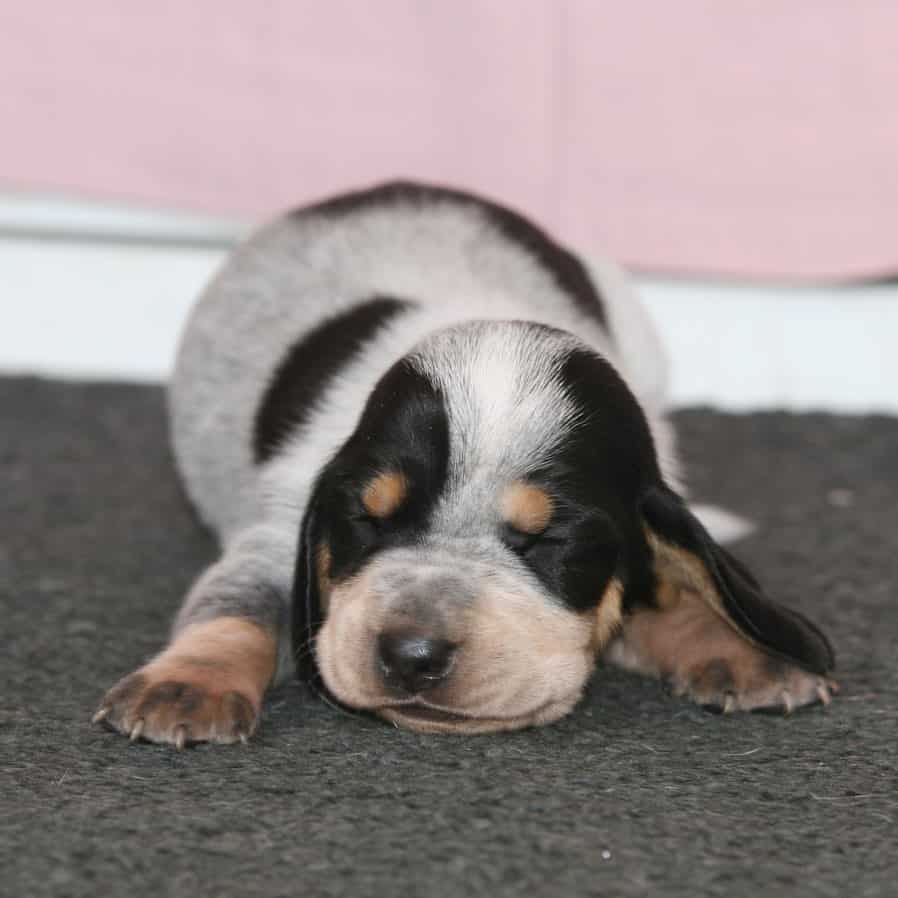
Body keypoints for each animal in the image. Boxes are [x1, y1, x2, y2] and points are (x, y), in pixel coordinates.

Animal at [91, 180, 832, 744]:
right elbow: (238, 606)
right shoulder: (279, 526)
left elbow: (678, 585)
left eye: (549, 541)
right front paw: (188, 682)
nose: (410, 656)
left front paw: (742, 646)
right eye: (368, 519)